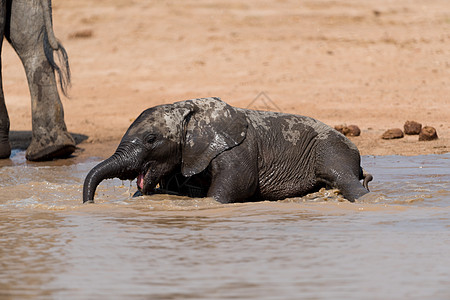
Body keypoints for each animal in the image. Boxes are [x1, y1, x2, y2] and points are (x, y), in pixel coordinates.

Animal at [84, 96, 372, 204]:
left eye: (151, 139)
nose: (89, 203)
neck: (187, 108)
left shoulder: (238, 150)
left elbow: (232, 188)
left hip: (331, 147)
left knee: (344, 179)